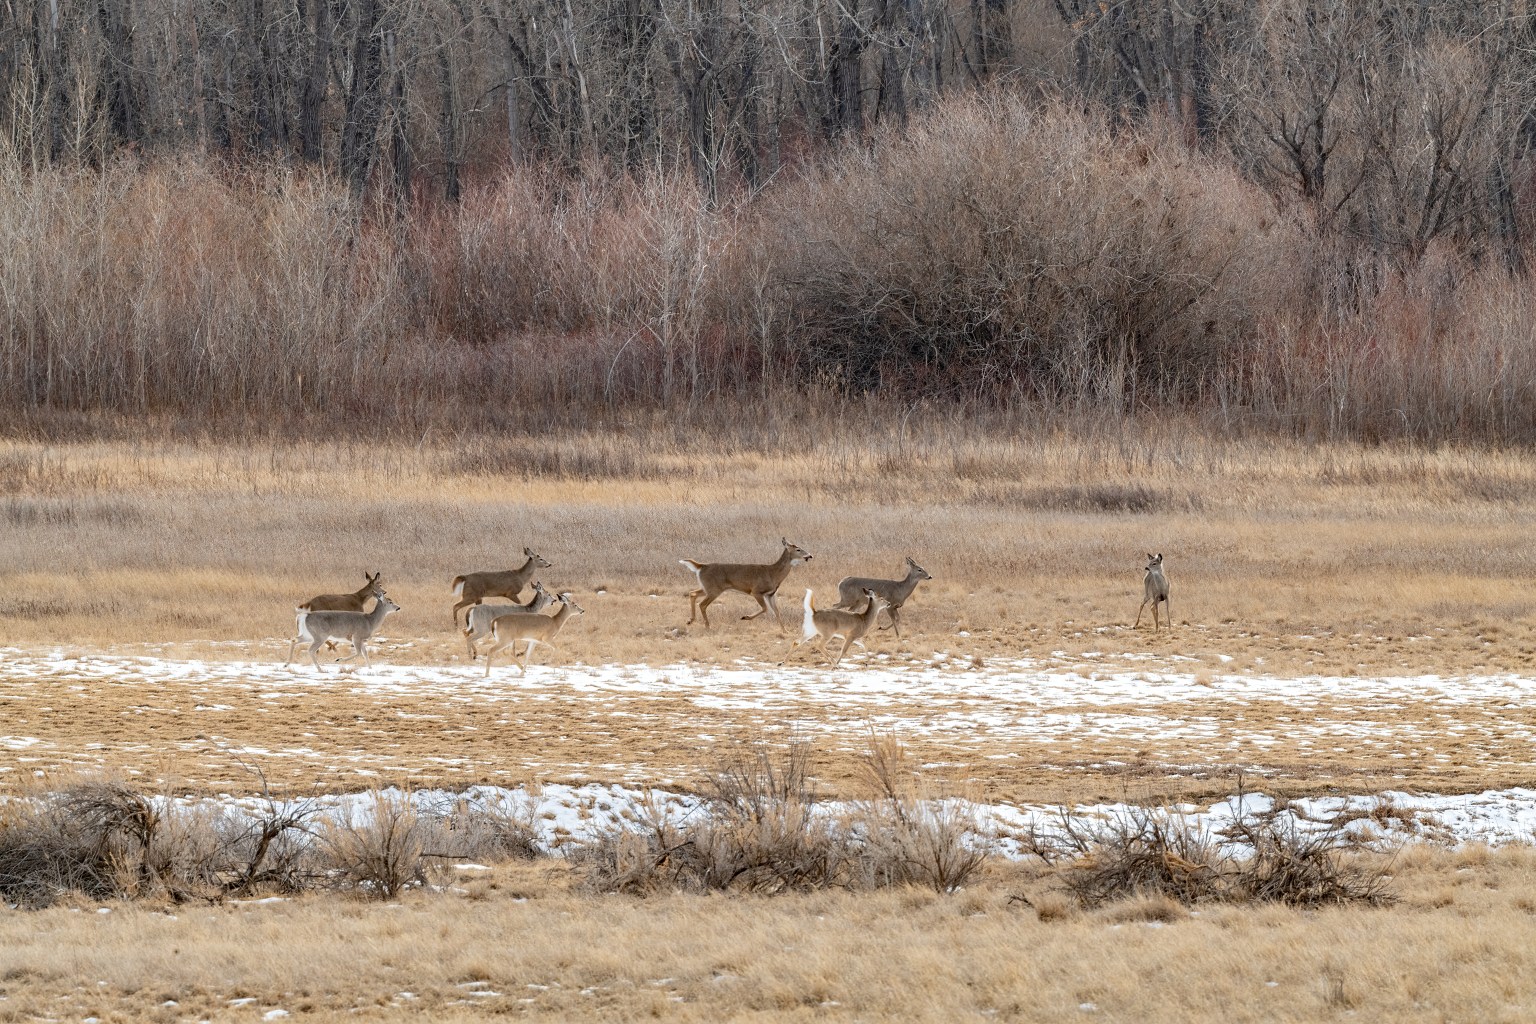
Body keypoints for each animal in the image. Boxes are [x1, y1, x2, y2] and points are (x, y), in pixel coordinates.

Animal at [680, 537, 812, 632]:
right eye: (798, 549)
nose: (810, 555)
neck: (773, 574)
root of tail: (701, 566)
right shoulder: (756, 591)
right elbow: (765, 608)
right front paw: (745, 617)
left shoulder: (770, 594)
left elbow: (776, 611)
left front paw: (785, 631)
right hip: (714, 590)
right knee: (702, 604)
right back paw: (707, 626)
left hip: (707, 588)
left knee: (692, 593)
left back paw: (690, 620)